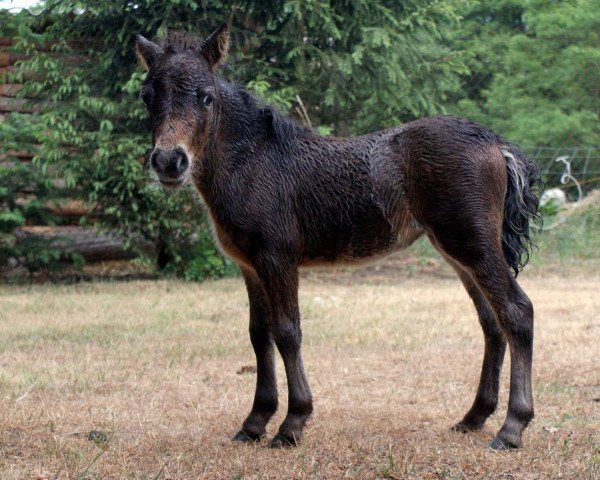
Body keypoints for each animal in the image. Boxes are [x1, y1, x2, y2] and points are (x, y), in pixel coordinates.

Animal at [136, 23, 544, 450]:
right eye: (147, 96)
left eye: (206, 96)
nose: (169, 161)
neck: (252, 161)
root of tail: (495, 143)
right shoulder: (249, 267)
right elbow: (258, 335)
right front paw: (254, 423)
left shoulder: (277, 258)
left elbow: (287, 332)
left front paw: (292, 424)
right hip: (458, 253)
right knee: (491, 322)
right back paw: (474, 417)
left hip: (474, 246)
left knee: (517, 312)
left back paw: (511, 427)